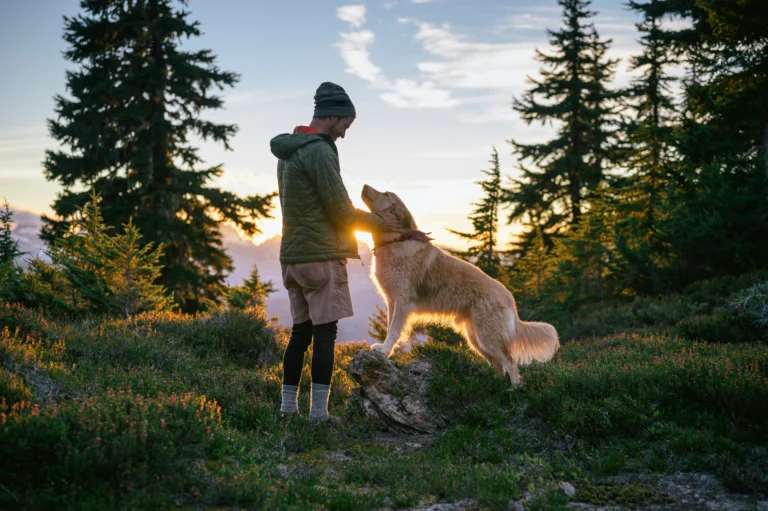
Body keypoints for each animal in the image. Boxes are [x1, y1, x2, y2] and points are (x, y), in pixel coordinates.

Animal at [360, 186, 560, 386]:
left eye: (385, 194)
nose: (364, 186)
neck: (397, 240)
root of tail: (508, 297)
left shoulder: (402, 301)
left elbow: (394, 330)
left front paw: (385, 351)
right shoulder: (392, 301)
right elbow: (389, 327)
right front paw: (384, 348)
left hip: (488, 335)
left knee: (511, 364)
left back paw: (514, 389)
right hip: (476, 338)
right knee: (498, 364)